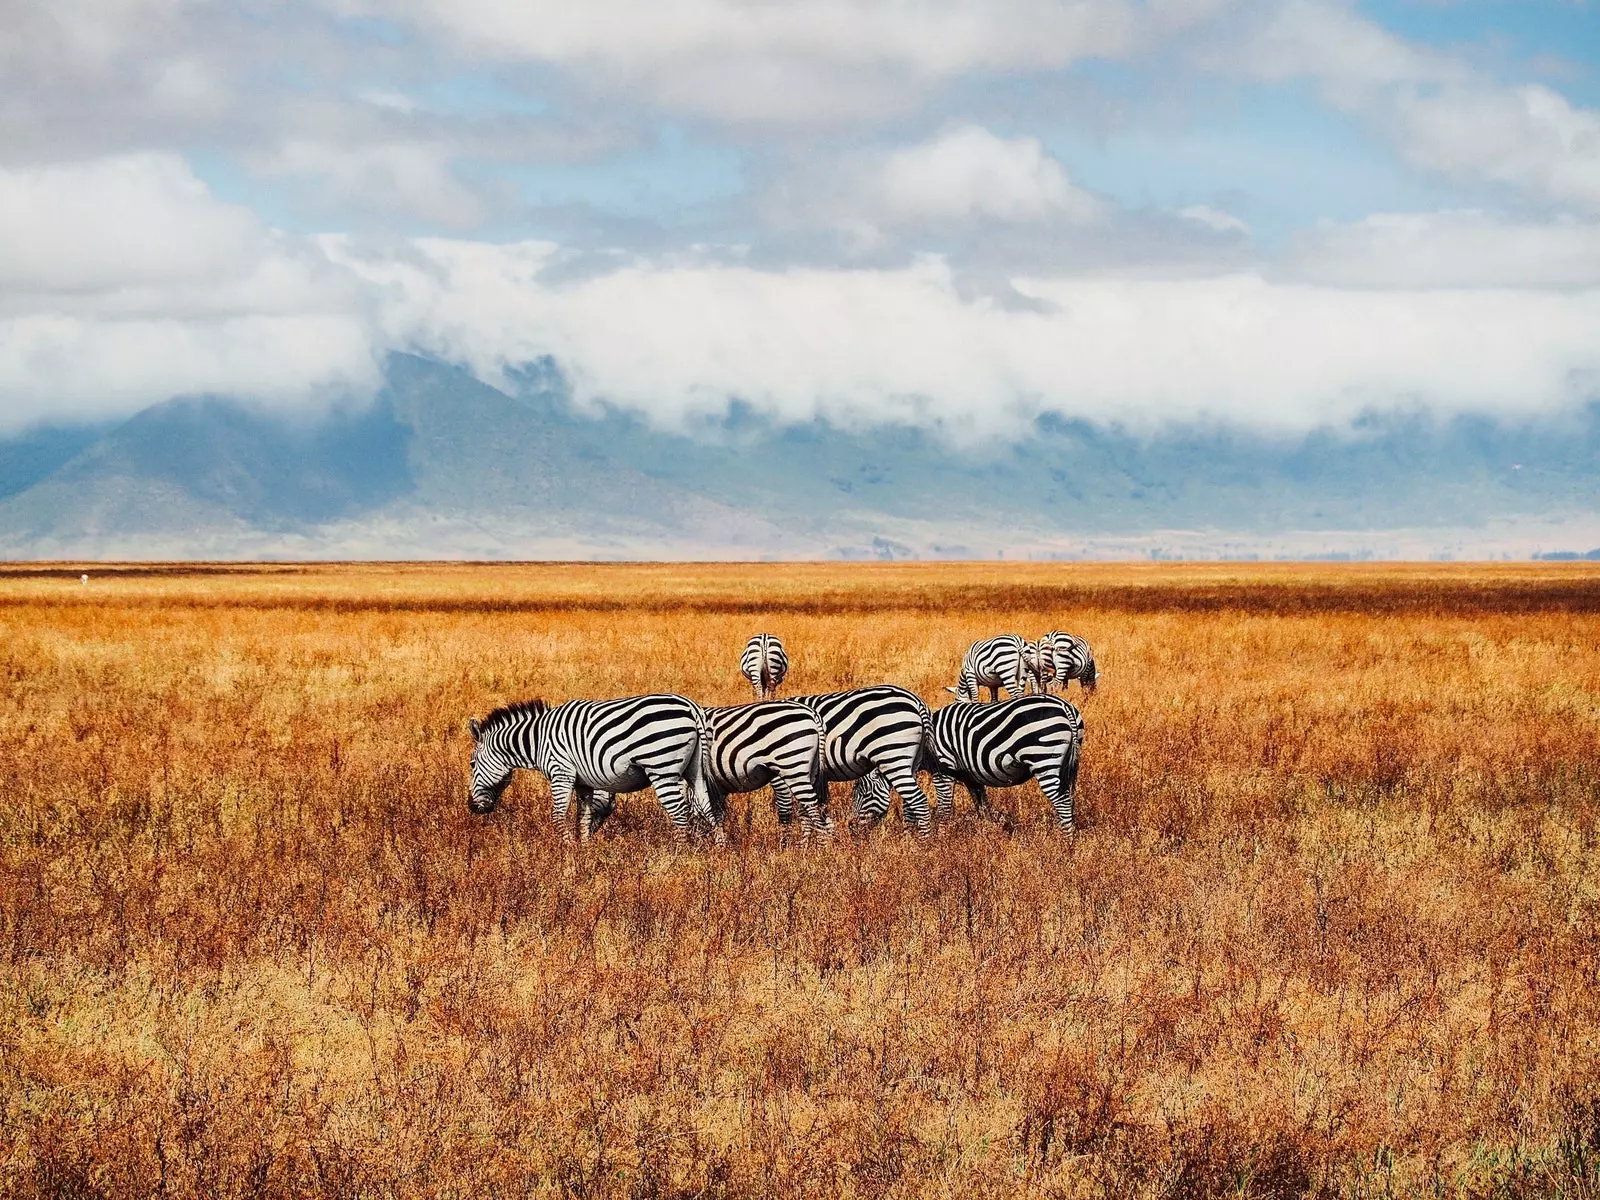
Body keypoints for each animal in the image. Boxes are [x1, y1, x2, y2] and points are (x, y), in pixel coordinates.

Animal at [460, 694, 716, 844]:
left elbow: (558, 817)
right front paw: (583, 852)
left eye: (472, 764)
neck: (538, 739)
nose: (471, 807)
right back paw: (717, 851)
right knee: (706, 805)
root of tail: (691, 707)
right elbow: (583, 818)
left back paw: (678, 856)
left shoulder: (561, 773)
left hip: (661, 768)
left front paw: (567, 852)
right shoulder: (584, 783)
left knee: (680, 813)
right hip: (695, 769)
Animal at [700, 700, 825, 838]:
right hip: (811, 768)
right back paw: (804, 843)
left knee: (816, 814)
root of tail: (811, 712)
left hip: (793, 767)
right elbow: (716, 816)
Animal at [790, 684, 934, 838]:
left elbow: (803, 809)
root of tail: (916, 700)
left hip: (892, 757)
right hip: (912, 761)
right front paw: (820, 838)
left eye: (865, 796)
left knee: (918, 800)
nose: (851, 826)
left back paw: (923, 841)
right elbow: (814, 807)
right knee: (909, 803)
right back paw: (908, 838)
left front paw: (805, 840)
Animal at [928, 694, 1088, 838]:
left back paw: (1067, 841)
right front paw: (988, 833)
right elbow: (982, 807)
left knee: (1062, 801)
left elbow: (944, 809)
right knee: (1069, 797)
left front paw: (941, 839)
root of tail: (1065, 706)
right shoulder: (971, 776)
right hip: (1068, 762)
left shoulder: (943, 768)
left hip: (1044, 758)